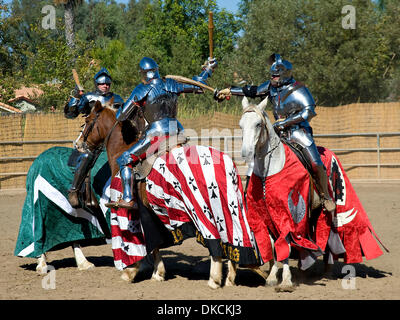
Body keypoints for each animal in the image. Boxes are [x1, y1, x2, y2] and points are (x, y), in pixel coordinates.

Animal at [81, 100, 268, 290]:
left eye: (87, 121)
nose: (80, 143)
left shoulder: (131, 215)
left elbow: (144, 245)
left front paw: (130, 272)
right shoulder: (151, 215)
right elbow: (155, 244)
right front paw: (157, 273)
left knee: (215, 244)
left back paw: (214, 279)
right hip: (231, 208)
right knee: (235, 238)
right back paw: (230, 278)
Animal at [239, 96, 390, 292]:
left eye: (258, 124)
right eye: (241, 125)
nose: (246, 152)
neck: (270, 170)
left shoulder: (289, 215)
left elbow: (286, 242)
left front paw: (286, 281)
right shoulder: (264, 215)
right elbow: (273, 243)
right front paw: (272, 276)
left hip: (326, 210)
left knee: (329, 238)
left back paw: (327, 271)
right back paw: (305, 269)